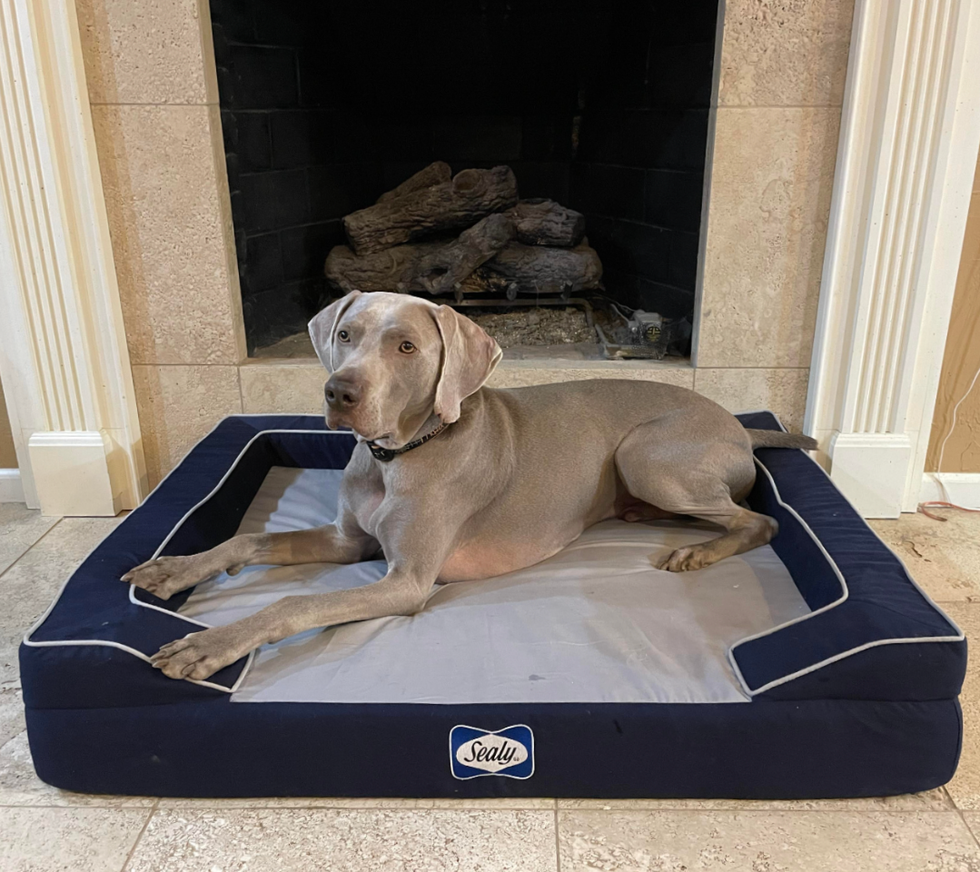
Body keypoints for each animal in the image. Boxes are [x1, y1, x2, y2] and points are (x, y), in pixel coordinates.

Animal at [124, 290, 812, 684]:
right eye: (345, 335)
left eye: (406, 346)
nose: (338, 392)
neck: (396, 456)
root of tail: (739, 426)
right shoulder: (350, 541)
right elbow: (245, 543)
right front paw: (173, 569)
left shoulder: (405, 582)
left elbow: (290, 604)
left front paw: (211, 644)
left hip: (645, 454)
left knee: (760, 519)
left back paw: (695, 551)